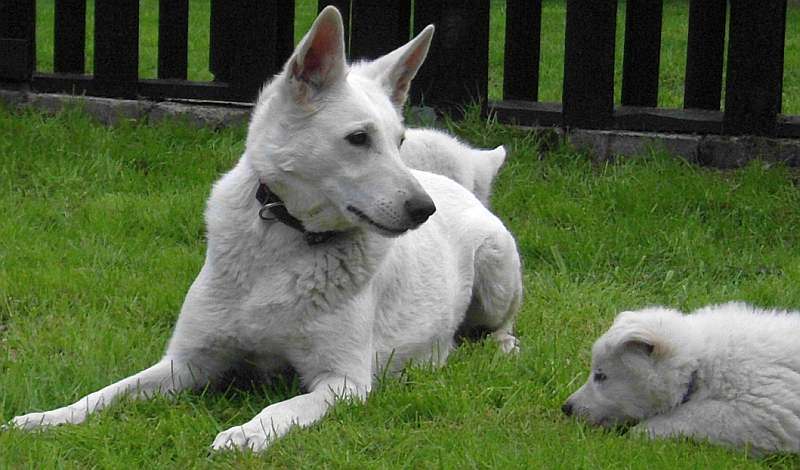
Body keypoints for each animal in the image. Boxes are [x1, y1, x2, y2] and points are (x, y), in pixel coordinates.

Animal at [12, 4, 524, 452]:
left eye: (399, 141)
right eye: (358, 138)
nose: (423, 210)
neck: (287, 239)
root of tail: (451, 185)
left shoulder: (342, 381)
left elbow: (282, 408)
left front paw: (245, 433)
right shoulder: (185, 363)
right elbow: (107, 392)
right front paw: (48, 417)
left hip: (496, 270)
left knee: (498, 326)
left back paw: (498, 347)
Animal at [564, 302, 800, 456]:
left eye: (601, 376)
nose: (566, 408)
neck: (699, 364)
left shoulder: (762, 411)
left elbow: (691, 415)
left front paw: (641, 433)